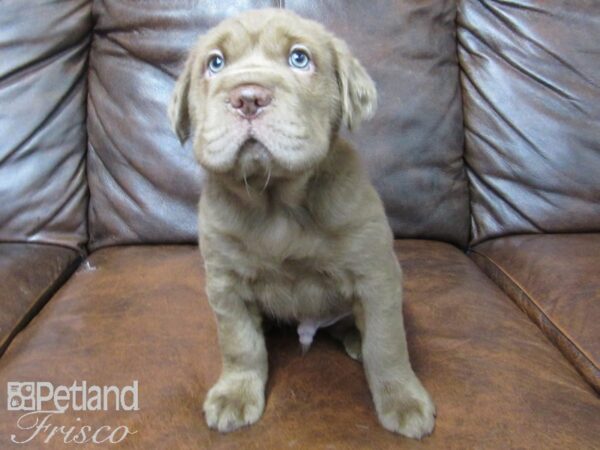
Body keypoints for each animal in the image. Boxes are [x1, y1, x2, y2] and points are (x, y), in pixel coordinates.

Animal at [169, 7, 436, 440]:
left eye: (299, 58)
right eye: (215, 63)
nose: (248, 97)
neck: (276, 203)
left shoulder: (376, 275)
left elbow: (387, 342)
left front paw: (402, 400)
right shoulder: (225, 284)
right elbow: (240, 344)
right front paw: (234, 394)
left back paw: (355, 339)